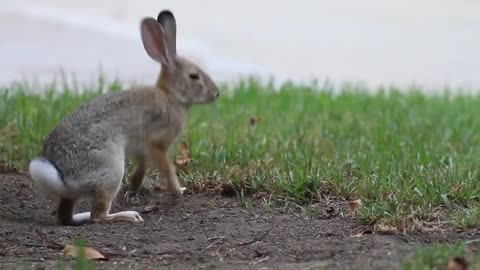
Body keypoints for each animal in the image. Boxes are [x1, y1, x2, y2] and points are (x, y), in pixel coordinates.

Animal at [27, 9, 218, 226]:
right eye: (194, 76)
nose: (216, 93)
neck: (171, 96)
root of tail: (64, 177)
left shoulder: (142, 151)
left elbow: (141, 168)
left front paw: (135, 187)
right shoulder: (156, 144)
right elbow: (167, 168)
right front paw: (178, 191)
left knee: (64, 216)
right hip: (111, 167)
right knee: (98, 215)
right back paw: (129, 215)